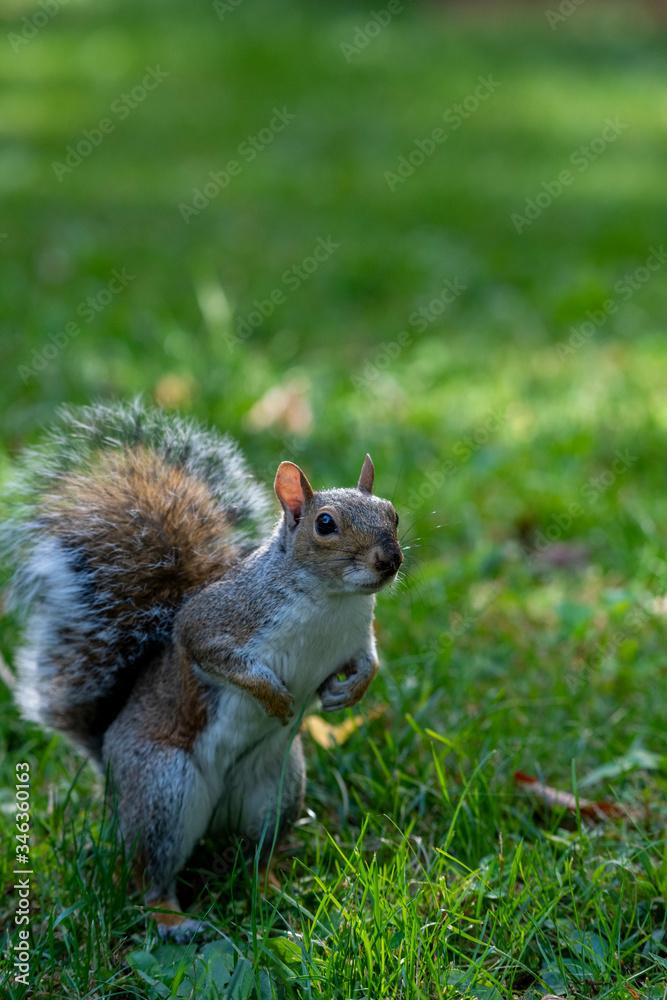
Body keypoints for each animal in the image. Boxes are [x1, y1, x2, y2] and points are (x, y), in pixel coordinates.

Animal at [1, 400, 403, 937]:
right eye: (324, 524)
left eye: (392, 513)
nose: (390, 560)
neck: (333, 602)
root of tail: (107, 758)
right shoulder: (214, 622)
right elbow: (210, 653)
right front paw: (275, 697)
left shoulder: (356, 637)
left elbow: (369, 661)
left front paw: (349, 691)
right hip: (164, 791)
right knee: (148, 873)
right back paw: (173, 919)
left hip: (275, 791)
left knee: (255, 853)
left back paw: (272, 890)